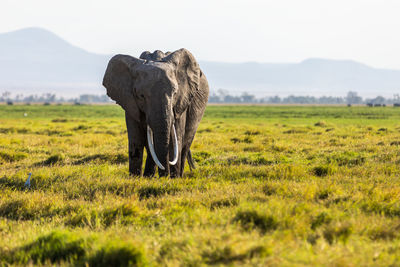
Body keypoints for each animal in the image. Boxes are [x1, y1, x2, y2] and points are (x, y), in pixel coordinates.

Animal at [102, 48, 209, 178]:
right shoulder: (129, 101)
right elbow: (136, 139)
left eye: (175, 93)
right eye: (141, 96)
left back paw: (177, 176)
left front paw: (173, 179)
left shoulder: (182, 99)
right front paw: (134, 178)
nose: (165, 176)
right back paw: (149, 176)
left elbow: (176, 139)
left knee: (184, 144)